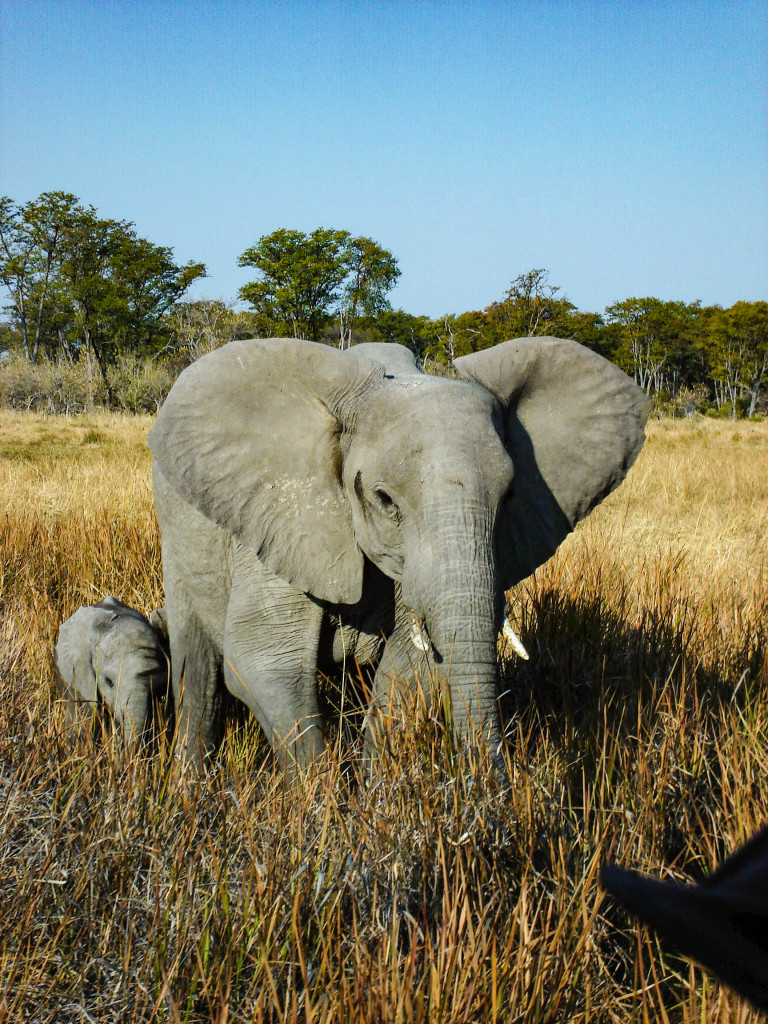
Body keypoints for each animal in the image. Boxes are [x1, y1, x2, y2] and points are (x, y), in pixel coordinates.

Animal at [148, 335, 651, 770]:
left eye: (509, 497)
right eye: (384, 500)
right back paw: (190, 787)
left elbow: (410, 671)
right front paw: (326, 806)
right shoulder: (282, 518)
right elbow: (265, 663)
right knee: (197, 671)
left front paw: (378, 795)